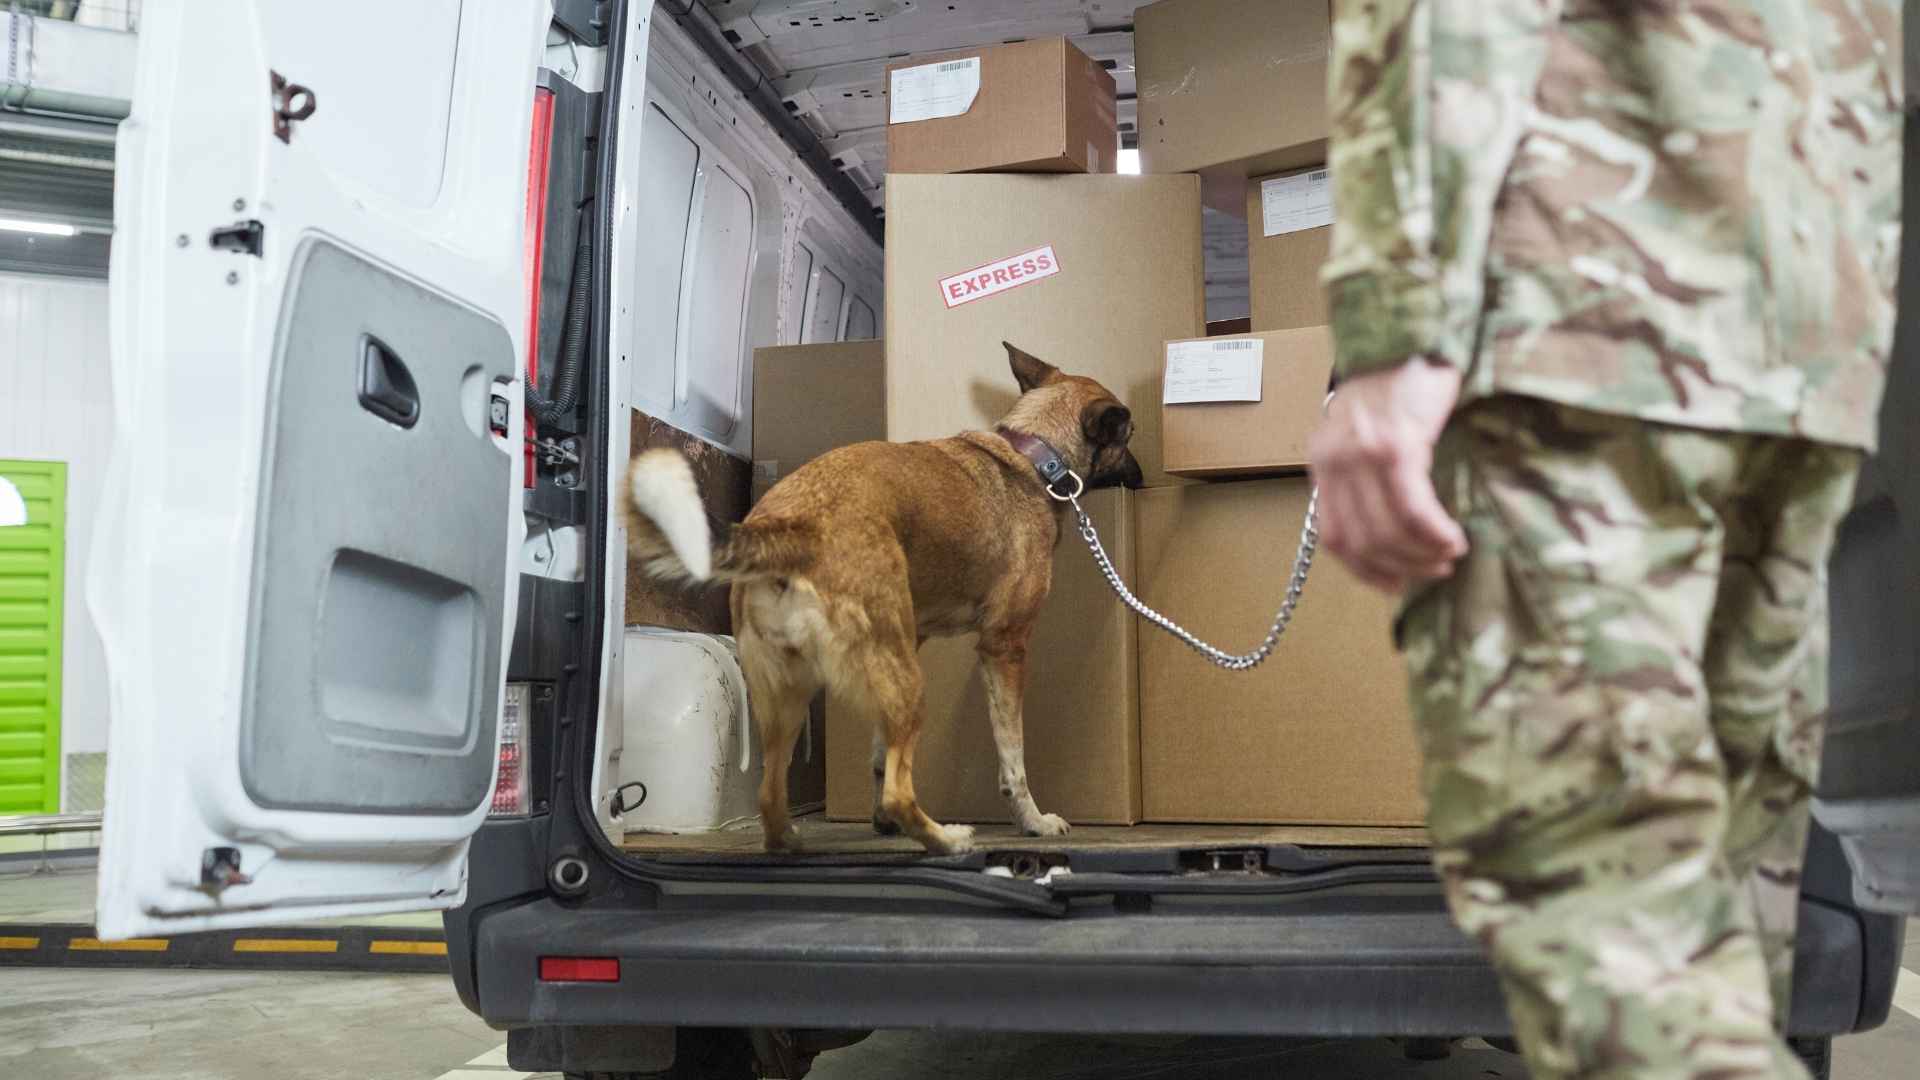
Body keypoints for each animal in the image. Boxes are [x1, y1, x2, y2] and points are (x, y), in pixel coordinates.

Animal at [625, 342, 1136, 849]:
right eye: (1128, 435)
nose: (1142, 474)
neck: (1032, 456)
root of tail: (792, 526)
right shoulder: (1004, 647)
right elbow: (1013, 755)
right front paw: (1034, 820)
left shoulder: (909, 644)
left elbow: (876, 754)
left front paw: (880, 821)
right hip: (905, 681)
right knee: (898, 792)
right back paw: (947, 838)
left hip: (795, 690)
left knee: (772, 795)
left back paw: (791, 840)